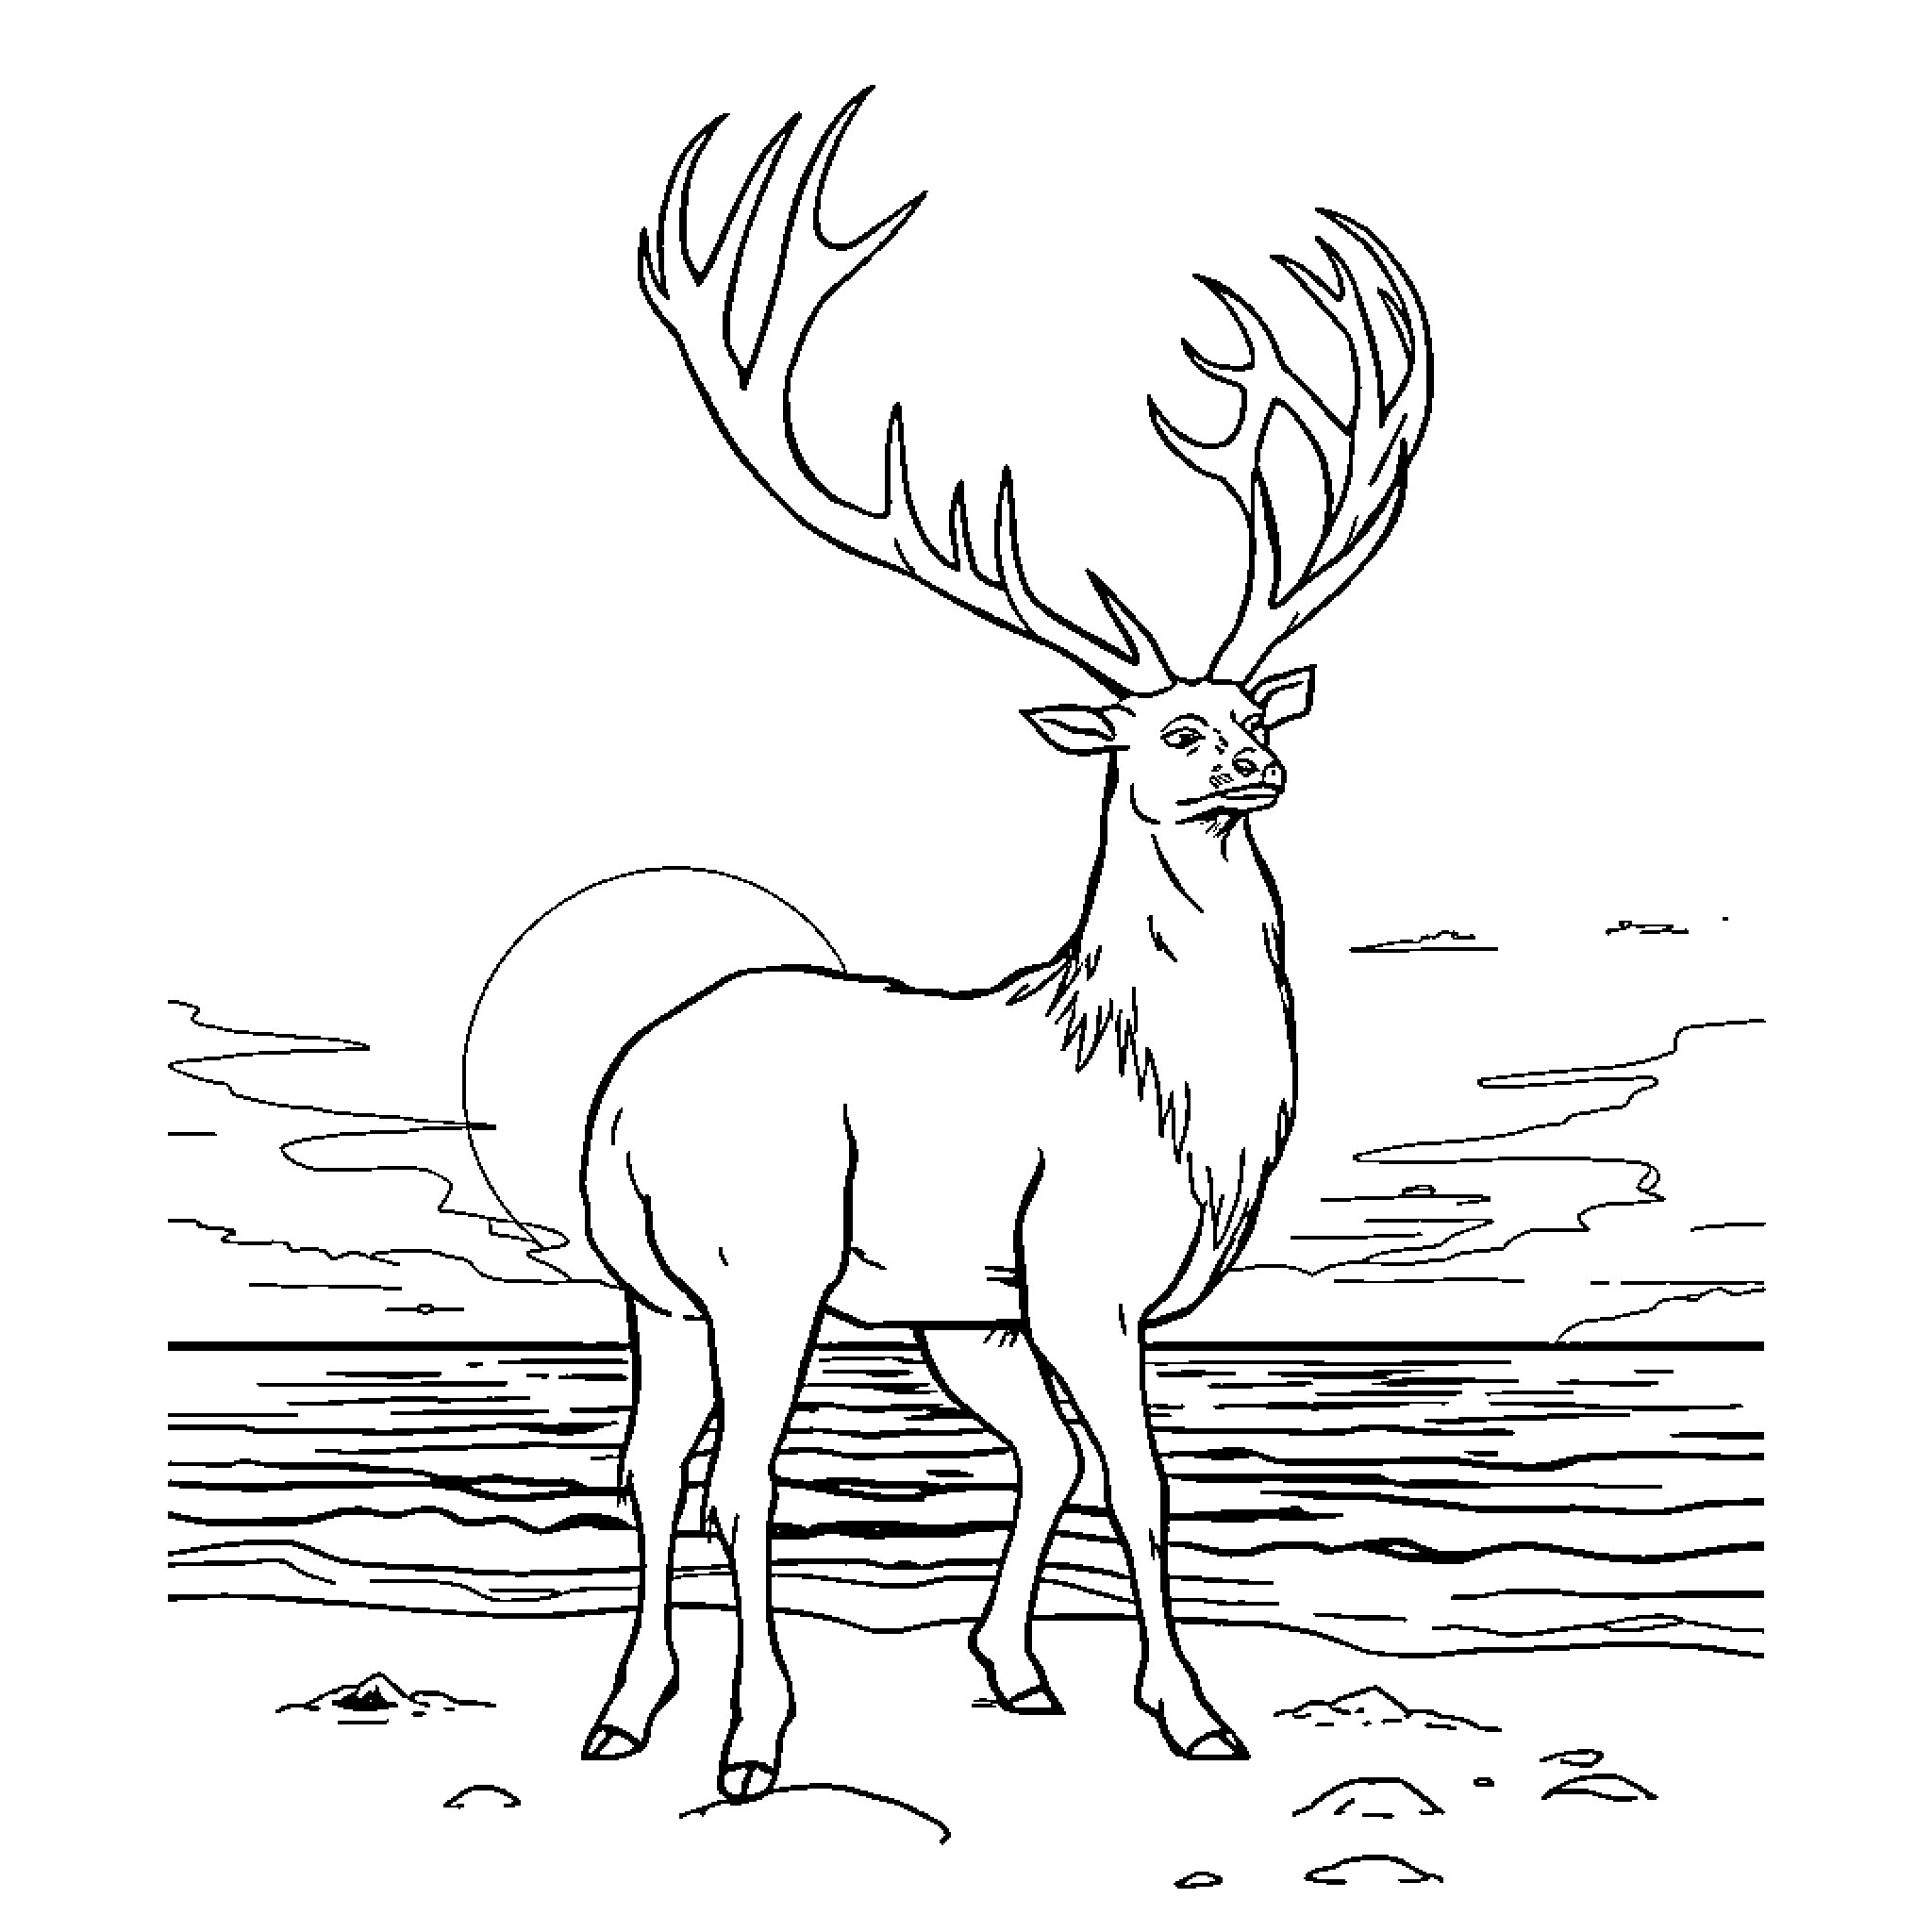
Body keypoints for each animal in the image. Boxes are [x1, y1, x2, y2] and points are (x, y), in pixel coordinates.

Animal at [577, 90, 1432, 1802]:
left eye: (1249, 707)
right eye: (1166, 729)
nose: (1255, 762)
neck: (1160, 1086)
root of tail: (624, 1106)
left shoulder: (987, 1298)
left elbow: (1054, 1459)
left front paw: (1018, 1669)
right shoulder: (1087, 1274)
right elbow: (1142, 1480)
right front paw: (1195, 1713)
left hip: (665, 1290)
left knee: (647, 1463)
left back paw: (627, 1712)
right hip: (764, 1260)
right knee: (739, 1475)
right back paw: (751, 1739)